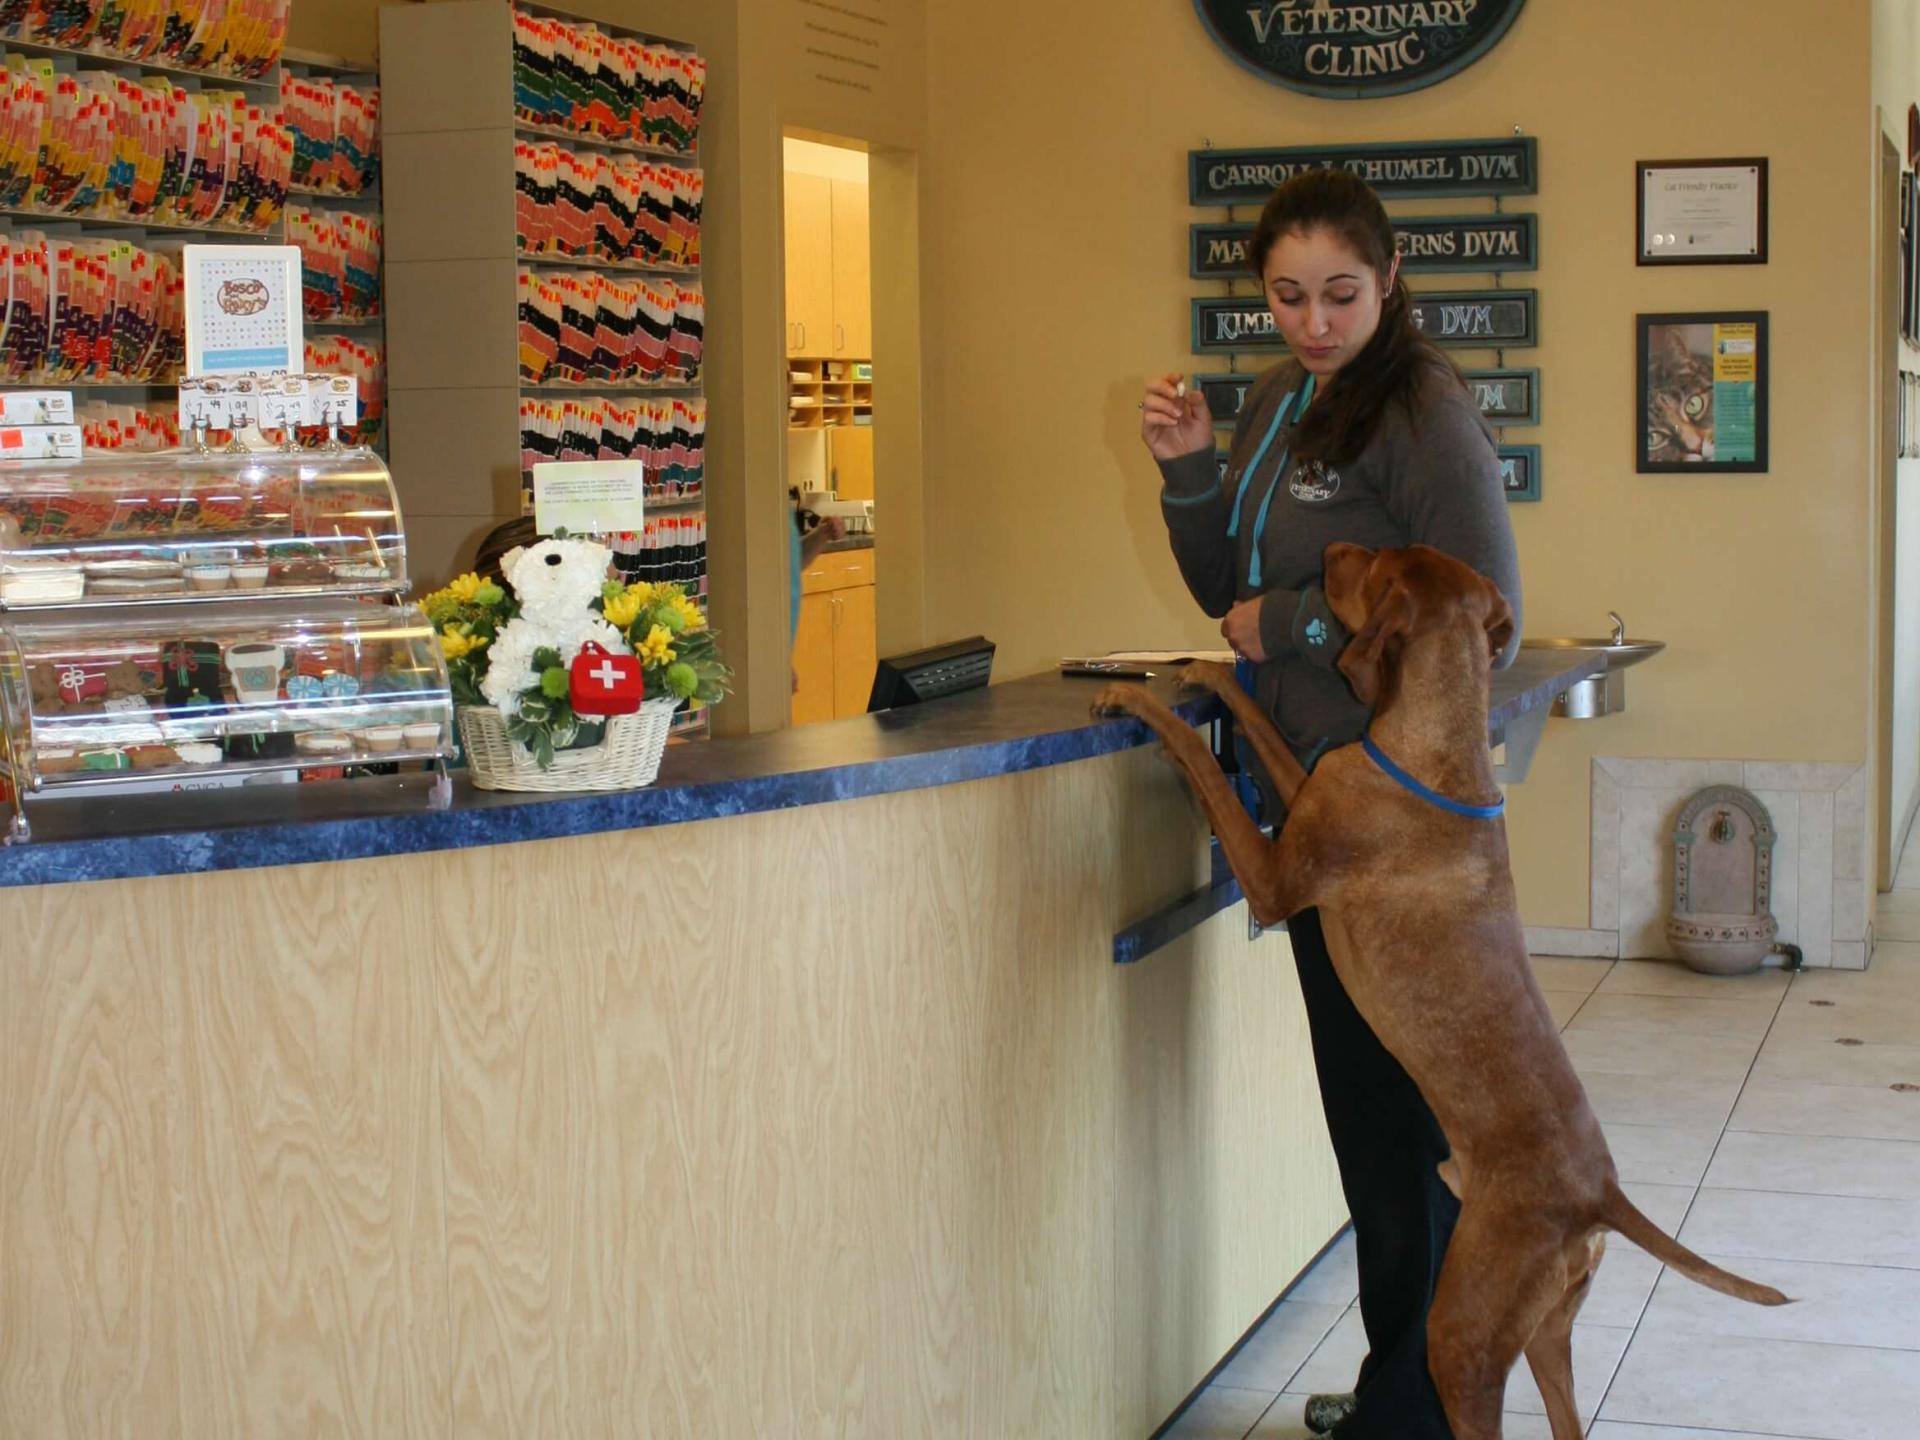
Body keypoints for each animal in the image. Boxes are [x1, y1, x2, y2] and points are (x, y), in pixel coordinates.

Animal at [1098, 545, 1781, 1440]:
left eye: (1373, 564)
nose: (1331, 552)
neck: (1436, 749)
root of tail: (1598, 1196)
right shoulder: (1315, 782)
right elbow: (1256, 725)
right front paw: (1207, 671)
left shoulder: (1277, 881)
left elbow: (1199, 755)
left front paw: (1136, 697)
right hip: (1548, 1330)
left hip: (1462, 1332)